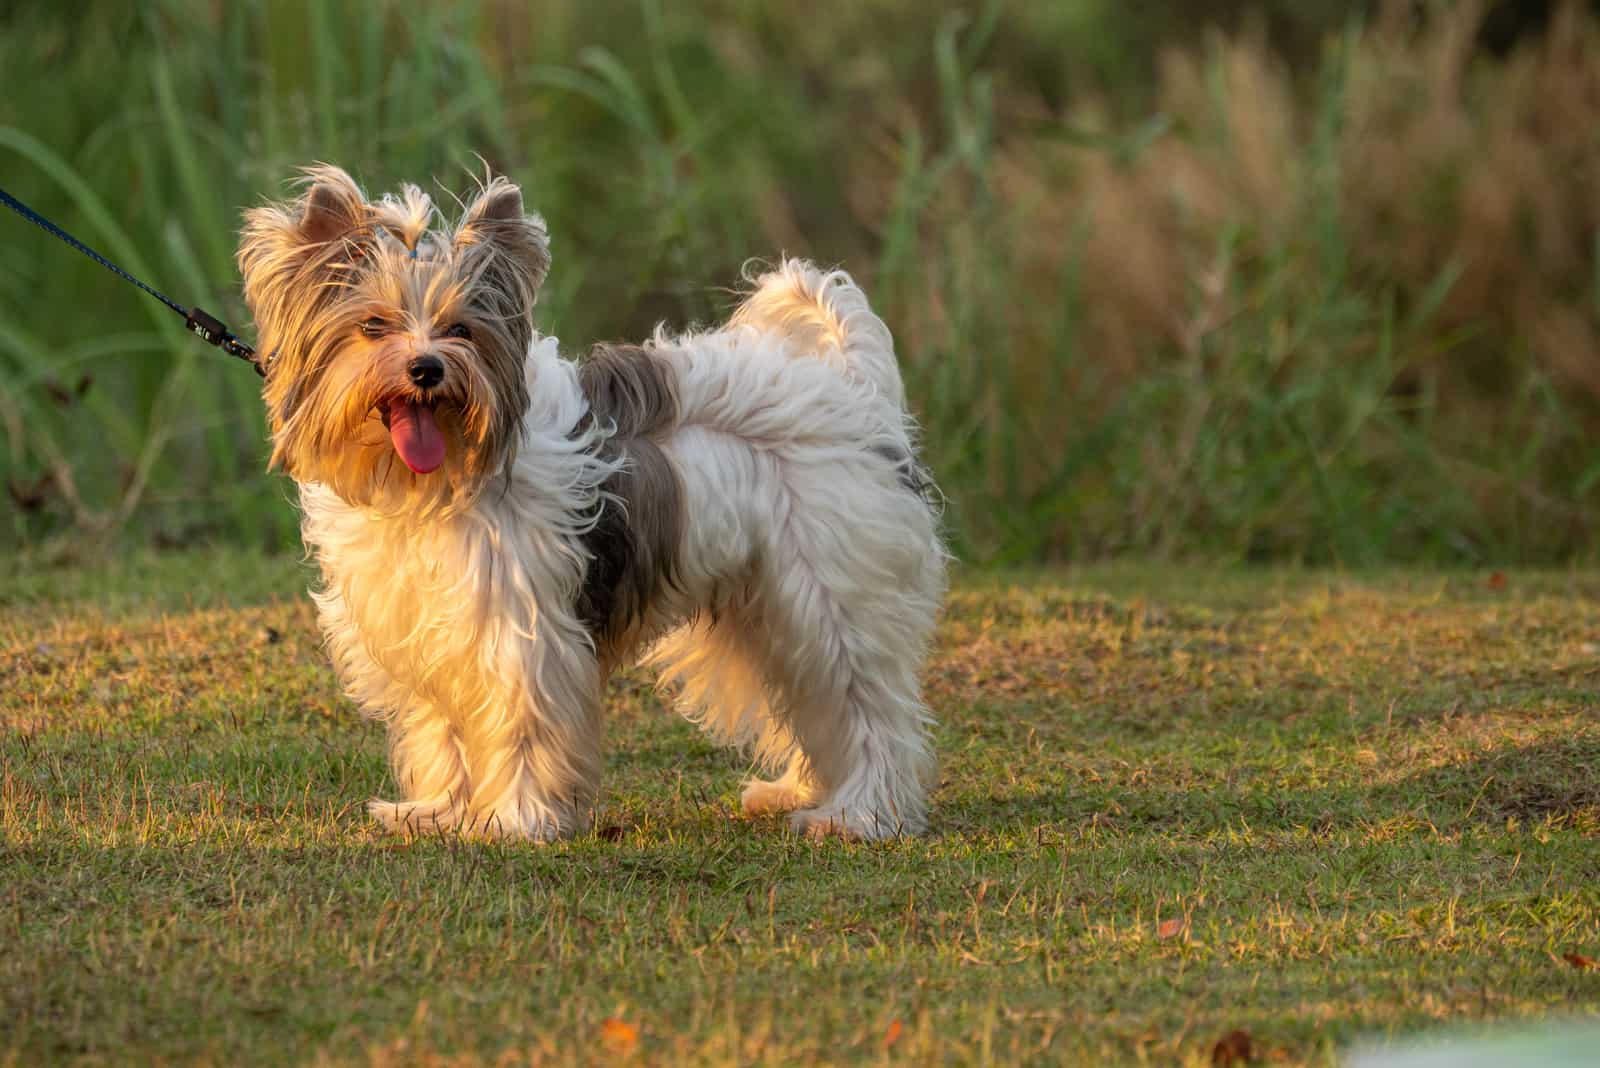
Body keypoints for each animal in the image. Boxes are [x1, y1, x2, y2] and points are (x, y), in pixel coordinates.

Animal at [232, 163, 940, 837]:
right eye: (373, 325)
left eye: (461, 328)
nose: (426, 369)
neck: (432, 483)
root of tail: (852, 385)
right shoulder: (429, 628)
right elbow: (445, 729)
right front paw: (441, 809)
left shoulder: (521, 627)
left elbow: (522, 721)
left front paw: (516, 818)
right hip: (763, 603)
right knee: (812, 701)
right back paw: (796, 791)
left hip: (831, 592)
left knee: (864, 706)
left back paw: (861, 815)